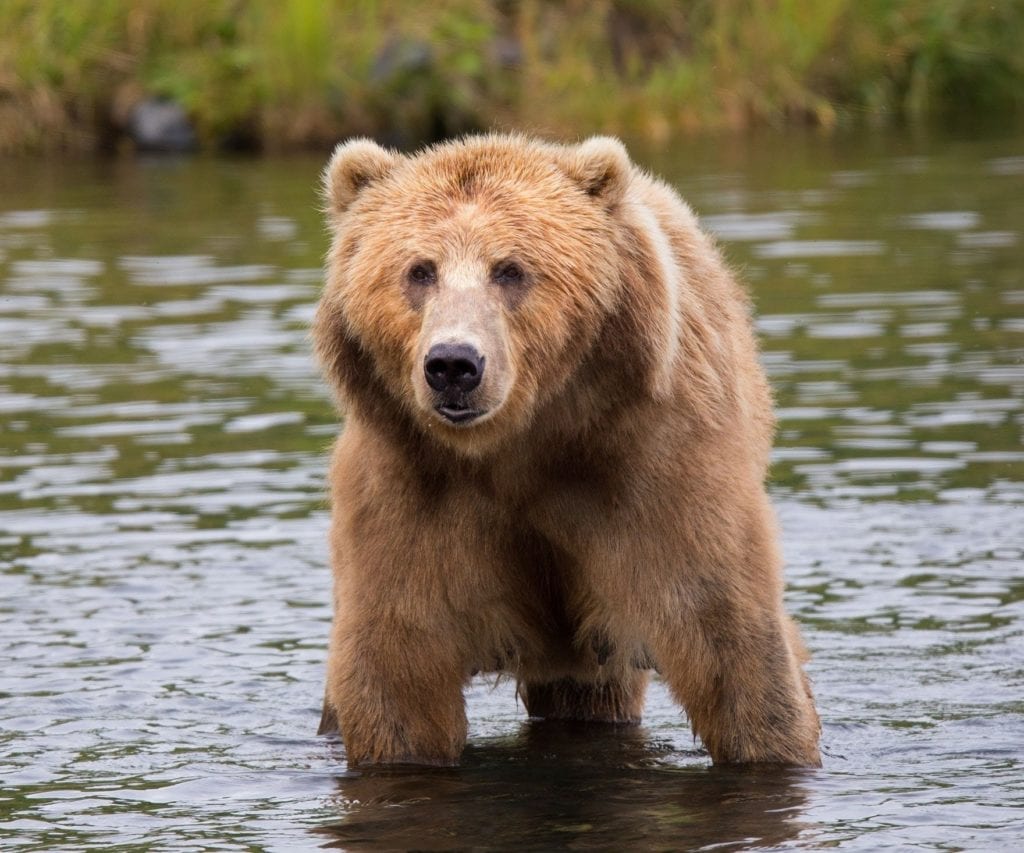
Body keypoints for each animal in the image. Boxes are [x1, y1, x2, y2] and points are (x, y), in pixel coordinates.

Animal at [311, 133, 823, 765]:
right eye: (419, 270)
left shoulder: (653, 467)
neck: (521, 444)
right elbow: (397, 666)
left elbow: (727, 635)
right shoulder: (410, 488)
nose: (453, 364)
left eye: (510, 270)